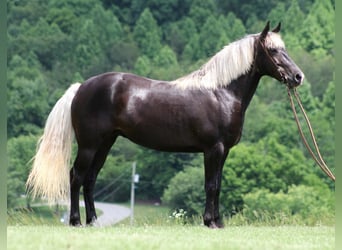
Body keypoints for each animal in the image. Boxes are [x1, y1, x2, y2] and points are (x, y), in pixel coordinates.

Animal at [26, 22, 304, 229]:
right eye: (273, 51)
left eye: (284, 48)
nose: (298, 76)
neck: (220, 92)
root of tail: (81, 87)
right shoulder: (213, 149)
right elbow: (211, 185)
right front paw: (209, 222)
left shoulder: (223, 151)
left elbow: (218, 185)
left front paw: (218, 222)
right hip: (89, 145)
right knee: (76, 176)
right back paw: (75, 221)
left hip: (105, 144)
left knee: (90, 179)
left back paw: (93, 221)